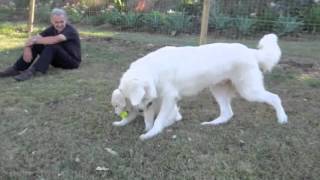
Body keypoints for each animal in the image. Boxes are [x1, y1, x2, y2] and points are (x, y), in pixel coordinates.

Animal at [119, 34, 288, 141]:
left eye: (142, 98)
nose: (139, 110)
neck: (154, 69)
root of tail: (249, 50)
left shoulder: (168, 98)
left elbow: (159, 119)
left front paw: (151, 133)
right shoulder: (156, 99)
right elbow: (151, 118)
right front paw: (147, 129)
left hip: (249, 91)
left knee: (275, 98)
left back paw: (282, 118)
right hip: (218, 90)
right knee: (227, 113)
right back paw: (211, 124)